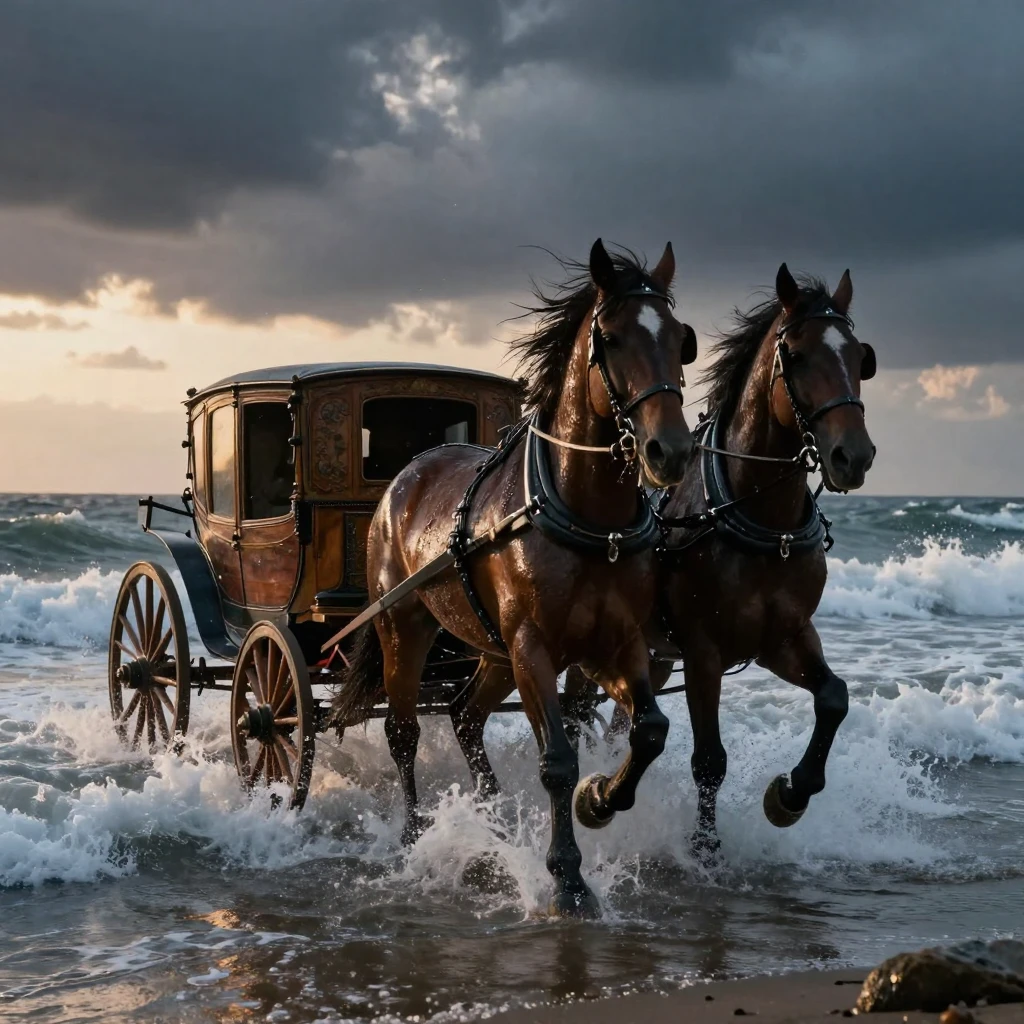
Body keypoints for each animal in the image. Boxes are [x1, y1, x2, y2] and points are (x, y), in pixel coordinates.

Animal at [330, 239, 697, 916]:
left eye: (679, 339)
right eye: (611, 338)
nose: (671, 451)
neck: (588, 516)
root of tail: (407, 474)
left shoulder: (617, 644)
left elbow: (651, 731)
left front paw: (600, 800)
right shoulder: (534, 647)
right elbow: (556, 760)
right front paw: (568, 878)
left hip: (494, 649)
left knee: (465, 716)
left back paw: (491, 819)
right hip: (405, 625)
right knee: (402, 731)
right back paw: (416, 835)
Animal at [448, 263, 876, 862]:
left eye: (860, 357)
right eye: (796, 355)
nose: (853, 456)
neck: (755, 514)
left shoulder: (785, 637)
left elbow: (834, 699)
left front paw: (790, 794)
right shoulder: (703, 651)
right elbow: (710, 759)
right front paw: (704, 847)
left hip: (631, 652)